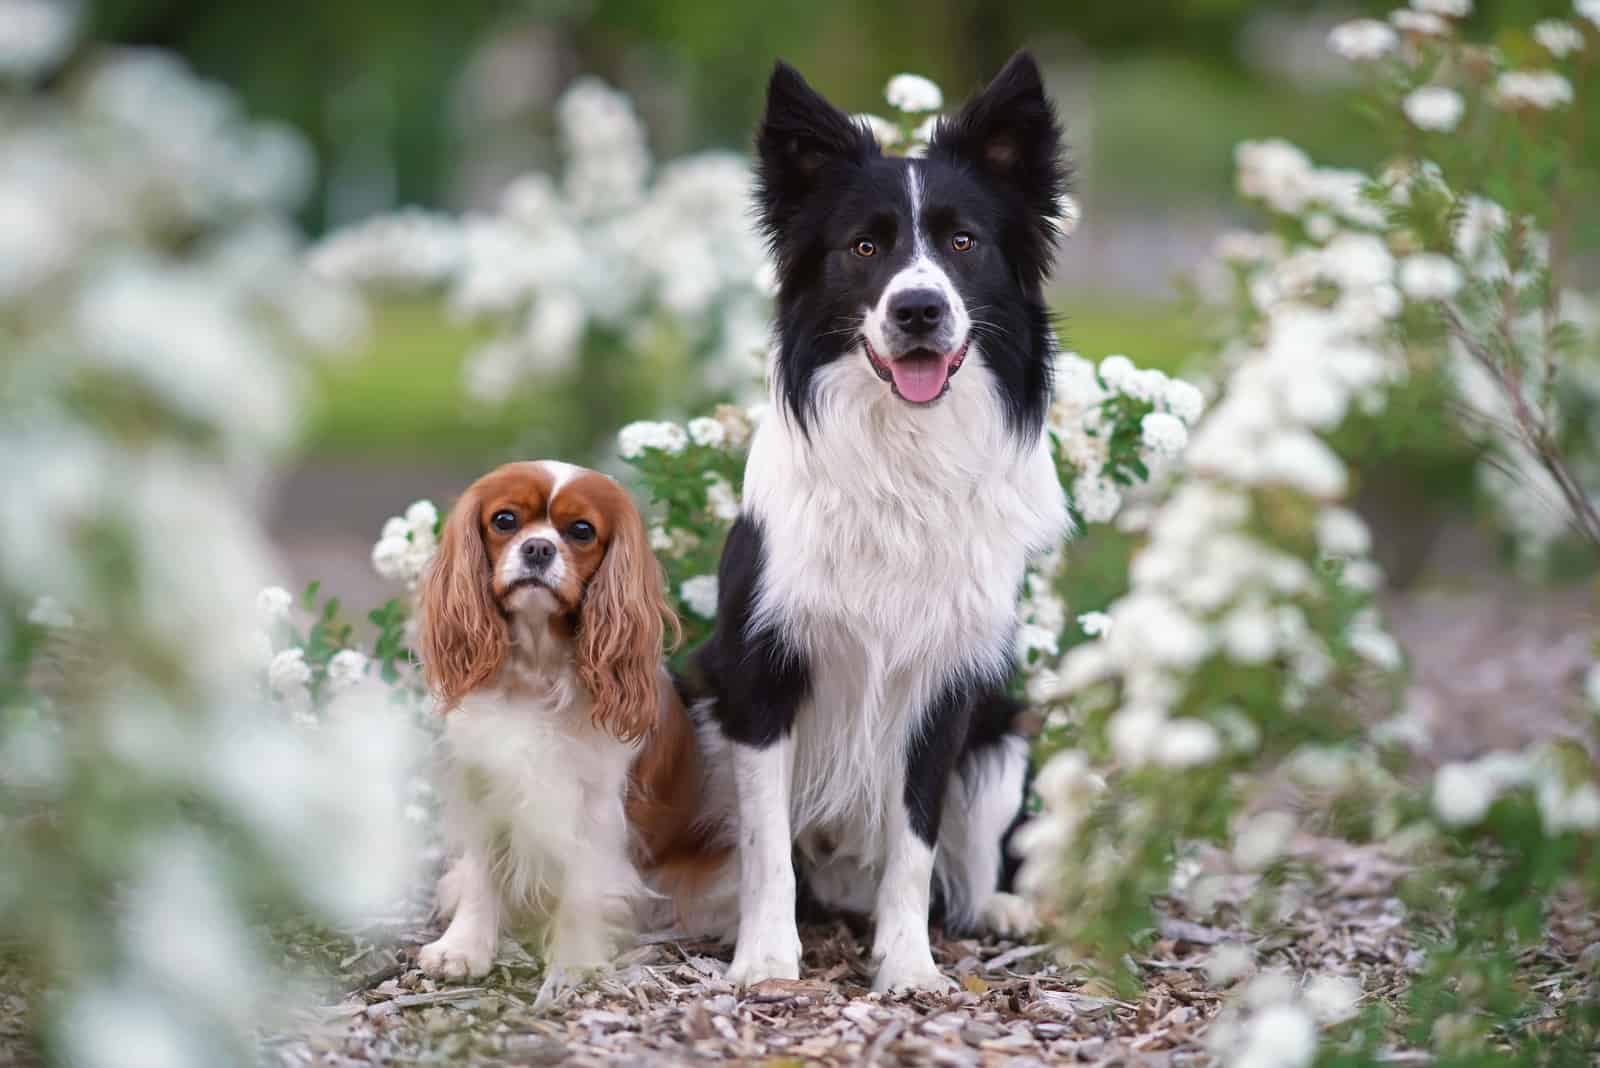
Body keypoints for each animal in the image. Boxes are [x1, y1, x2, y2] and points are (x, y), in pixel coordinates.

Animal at [412, 463, 720, 1004]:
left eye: (581, 531)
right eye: (505, 520)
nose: (538, 548)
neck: (536, 672)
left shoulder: (595, 805)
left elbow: (583, 886)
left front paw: (575, 964)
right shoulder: (486, 786)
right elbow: (482, 875)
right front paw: (463, 948)